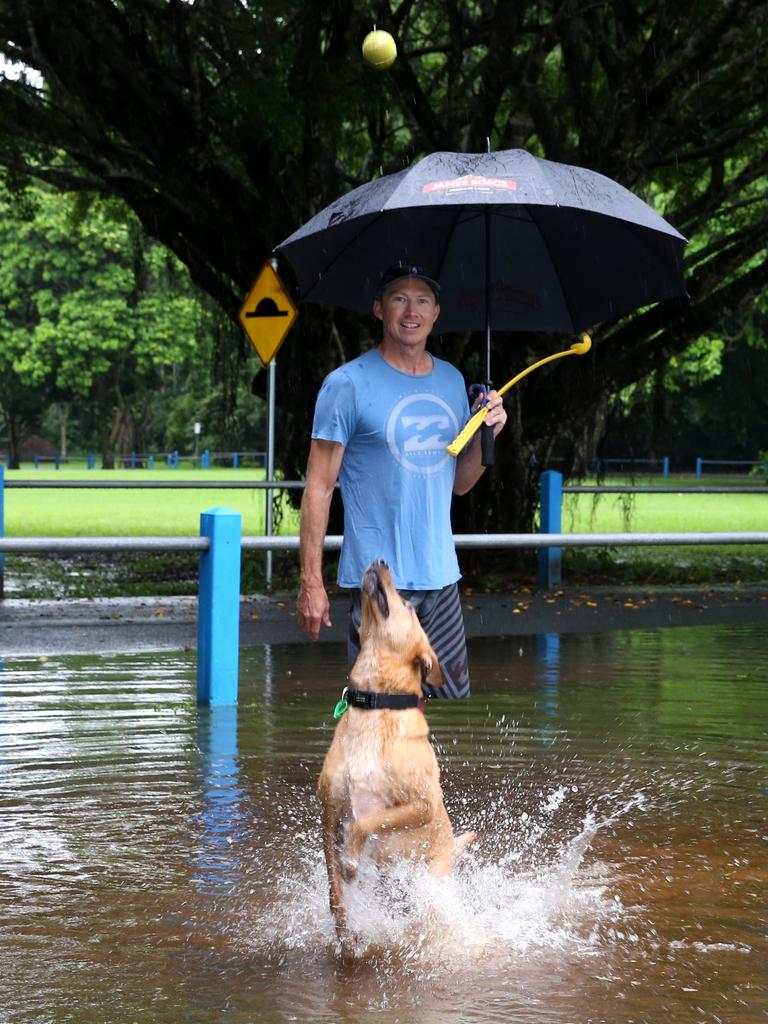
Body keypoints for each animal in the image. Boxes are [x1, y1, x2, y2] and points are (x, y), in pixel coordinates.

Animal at [317, 565, 475, 937]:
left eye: (406, 602)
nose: (380, 561)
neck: (375, 705)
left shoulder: (422, 806)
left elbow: (369, 821)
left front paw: (351, 860)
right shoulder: (329, 808)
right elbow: (333, 879)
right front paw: (341, 922)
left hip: (432, 875)